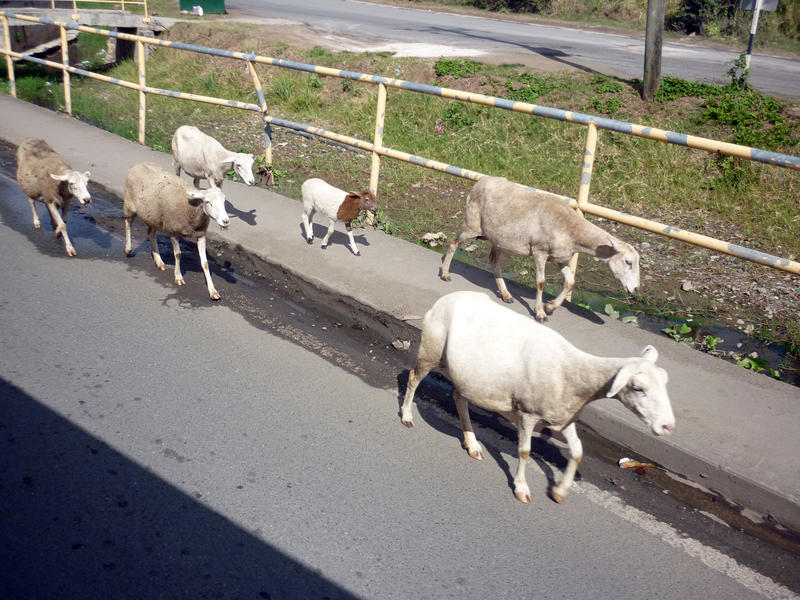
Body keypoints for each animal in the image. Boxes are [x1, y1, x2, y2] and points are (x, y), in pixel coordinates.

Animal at [124, 162, 231, 300]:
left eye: (224, 201)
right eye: (208, 202)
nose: (226, 221)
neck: (192, 211)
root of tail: (138, 163)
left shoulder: (201, 235)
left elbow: (205, 263)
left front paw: (212, 291)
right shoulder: (173, 231)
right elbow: (178, 254)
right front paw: (178, 277)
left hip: (154, 216)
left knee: (151, 234)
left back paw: (159, 261)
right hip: (129, 205)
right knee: (128, 224)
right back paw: (128, 249)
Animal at [400, 290, 676, 502]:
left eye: (665, 381)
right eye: (638, 387)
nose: (667, 427)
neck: (572, 372)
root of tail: (446, 297)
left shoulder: (564, 416)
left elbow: (577, 451)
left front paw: (560, 491)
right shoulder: (527, 413)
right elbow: (525, 451)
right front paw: (522, 489)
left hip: (470, 377)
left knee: (459, 397)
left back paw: (473, 444)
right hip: (431, 348)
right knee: (414, 378)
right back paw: (406, 416)